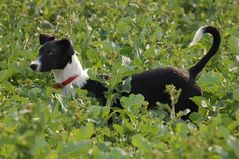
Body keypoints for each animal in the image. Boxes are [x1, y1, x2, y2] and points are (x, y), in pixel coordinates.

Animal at [30, 26, 221, 118]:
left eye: (51, 53)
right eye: (40, 51)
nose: (32, 65)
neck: (73, 79)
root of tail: (190, 72)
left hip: (189, 112)